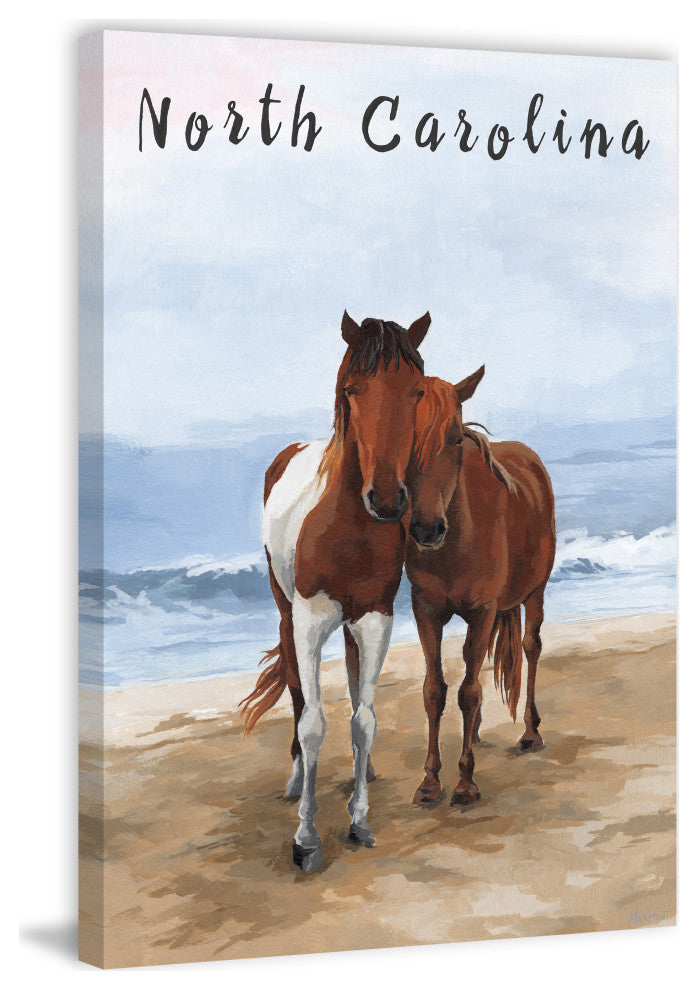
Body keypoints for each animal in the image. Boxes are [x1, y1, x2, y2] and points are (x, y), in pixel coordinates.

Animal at [240, 311, 431, 871]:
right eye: (352, 389)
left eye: (416, 391)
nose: (387, 500)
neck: (350, 524)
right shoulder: (309, 619)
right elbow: (312, 722)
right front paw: (305, 839)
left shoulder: (376, 618)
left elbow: (363, 718)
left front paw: (359, 820)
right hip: (286, 613)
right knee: (297, 692)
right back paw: (296, 778)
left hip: (350, 626)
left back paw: (363, 774)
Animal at [405, 372, 556, 807]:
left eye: (456, 438)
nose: (426, 529)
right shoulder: (425, 610)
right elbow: (434, 690)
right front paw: (430, 781)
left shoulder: (482, 609)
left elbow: (468, 691)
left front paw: (465, 783)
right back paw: (473, 732)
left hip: (536, 590)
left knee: (530, 647)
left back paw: (530, 732)